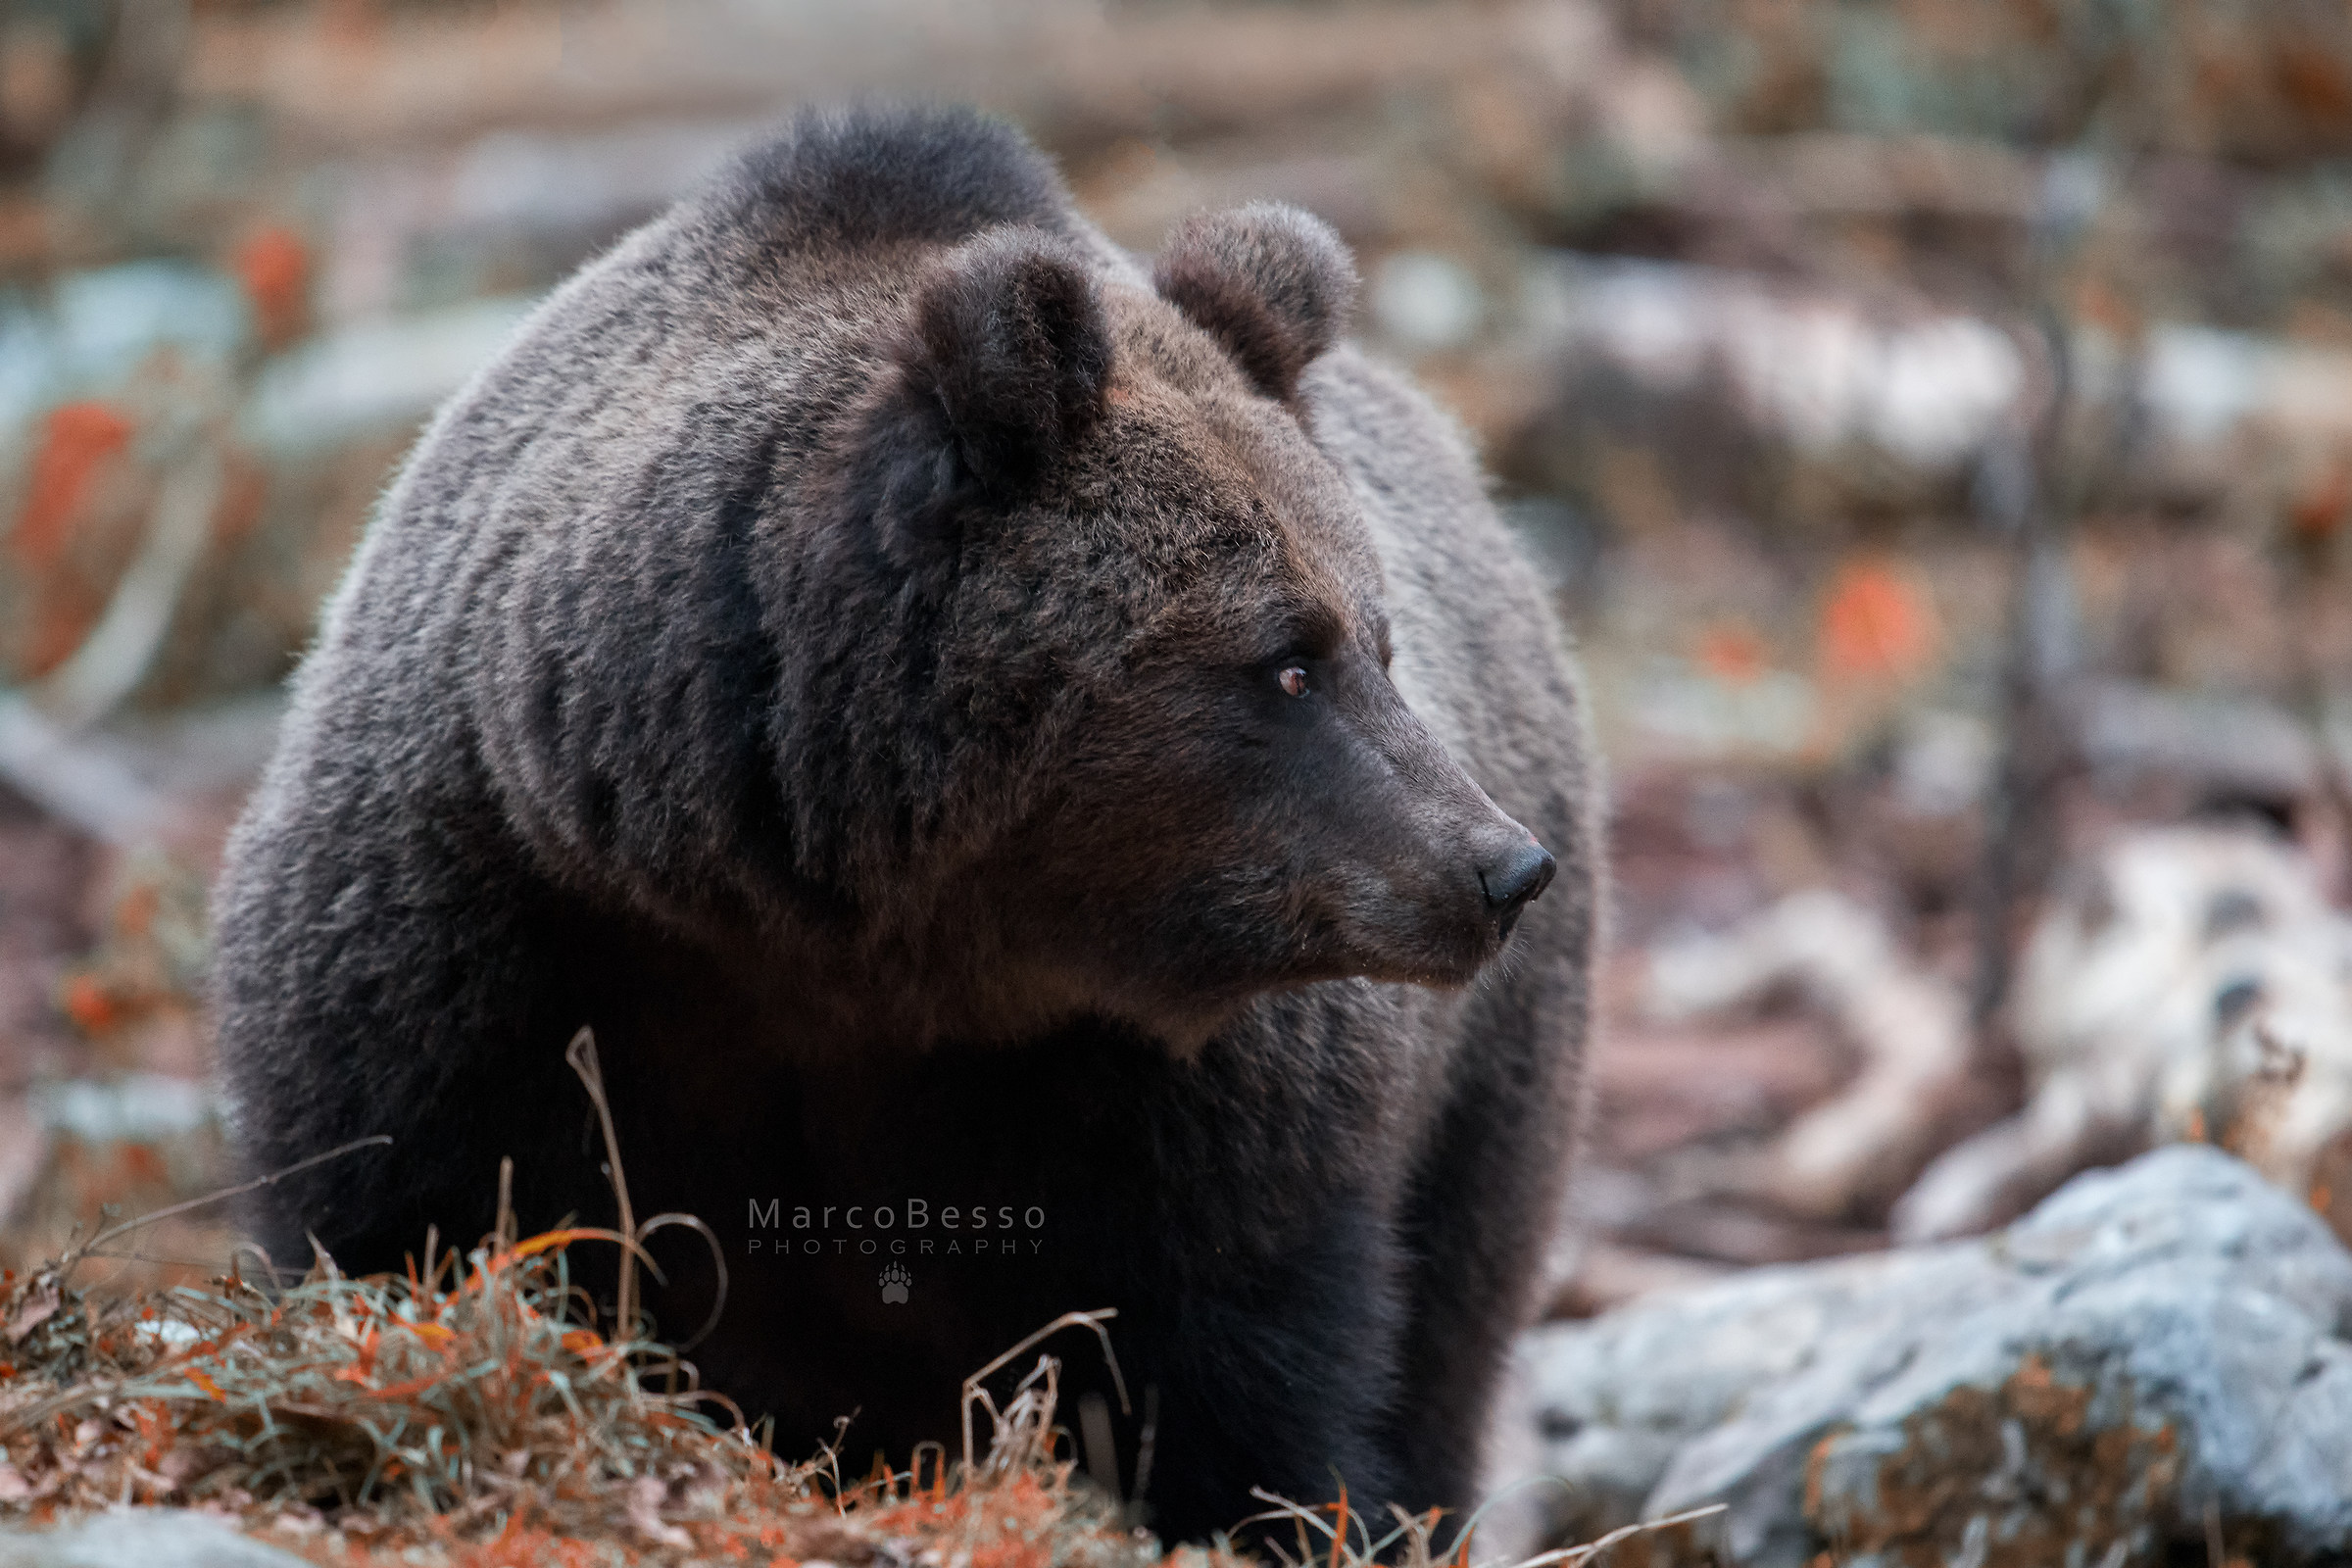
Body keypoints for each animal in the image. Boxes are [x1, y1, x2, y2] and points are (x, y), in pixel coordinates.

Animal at [211, 104, 1598, 1545]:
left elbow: (1240, 1364)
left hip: (1485, 1099)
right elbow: (408, 1215)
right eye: (1286, 661)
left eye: (1378, 641)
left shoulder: (1183, 1107)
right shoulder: (484, 943)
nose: (1501, 867)